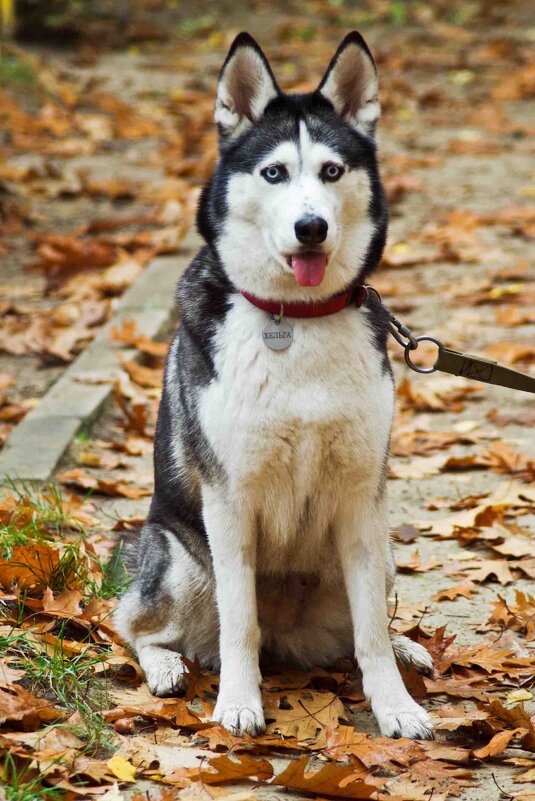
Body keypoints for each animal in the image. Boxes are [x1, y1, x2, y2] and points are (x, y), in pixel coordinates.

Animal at [115, 32, 434, 744]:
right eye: (274, 174)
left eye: (333, 172)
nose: (311, 227)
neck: (296, 319)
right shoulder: (230, 500)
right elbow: (239, 623)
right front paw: (237, 701)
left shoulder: (362, 497)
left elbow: (371, 633)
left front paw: (396, 705)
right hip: (179, 561)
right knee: (137, 624)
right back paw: (166, 667)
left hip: (379, 553)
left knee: (360, 629)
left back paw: (408, 650)